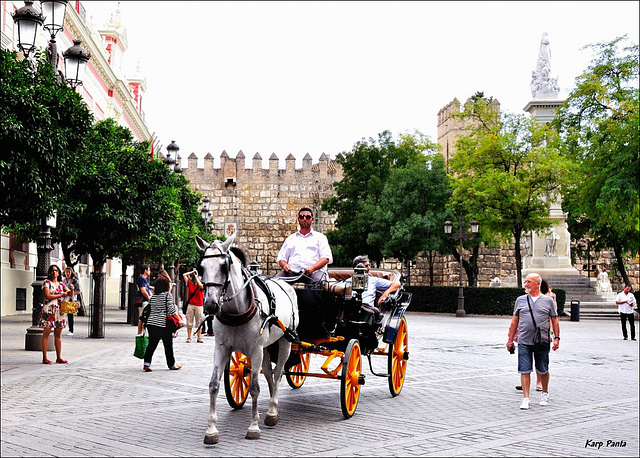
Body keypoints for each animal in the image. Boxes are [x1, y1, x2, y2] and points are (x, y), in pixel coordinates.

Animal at [198, 234, 300, 442]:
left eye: (224, 266)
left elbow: (254, 387)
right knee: (269, 374)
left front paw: (253, 426)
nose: (210, 305)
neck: (236, 310)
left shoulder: (256, 350)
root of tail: (287, 284)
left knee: (278, 374)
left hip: (284, 342)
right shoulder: (221, 347)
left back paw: (272, 412)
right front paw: (211, 429)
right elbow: (213, 385)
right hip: (267, 347)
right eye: (201, 267)